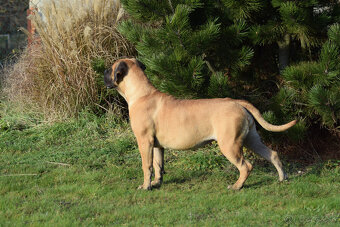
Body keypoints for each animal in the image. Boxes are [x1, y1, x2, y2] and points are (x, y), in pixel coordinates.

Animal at [103, 58, 294, 190]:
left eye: (111, 69)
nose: (103, 72)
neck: (141, 93)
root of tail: (237, 102)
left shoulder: (144, 142)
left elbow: (146, 166)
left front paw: (146, 186)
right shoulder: (156, 145)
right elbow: (158, 165)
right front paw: (157, 183)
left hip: (229, 145)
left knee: (246, 166)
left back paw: (236, 186)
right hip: (251, 139)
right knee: (272, 154)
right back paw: (282, 178)